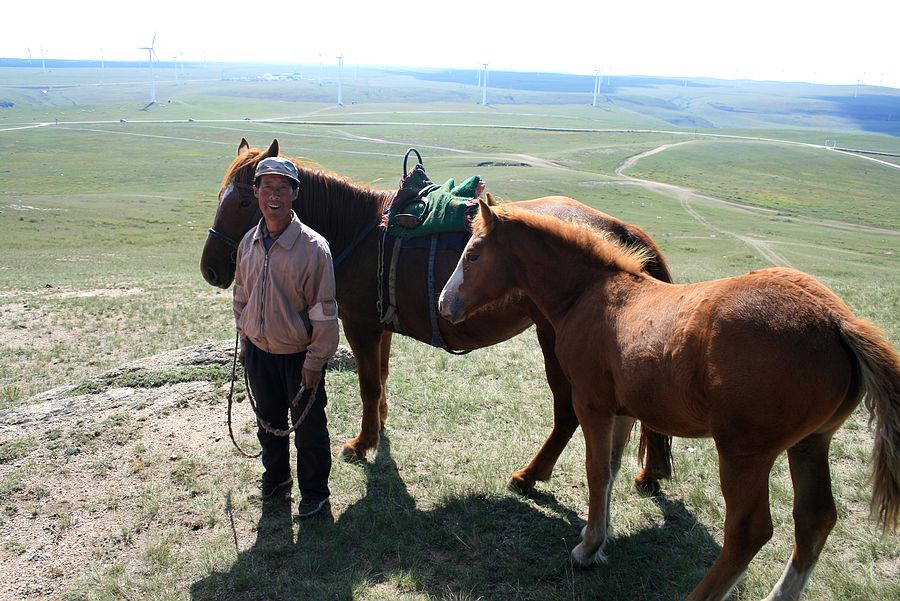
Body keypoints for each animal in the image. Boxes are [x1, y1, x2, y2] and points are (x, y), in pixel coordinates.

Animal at [199, 139, 676, 492]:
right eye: (222, 195)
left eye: (245, 202)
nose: (211, 269)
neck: (354, 228)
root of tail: (623, 232)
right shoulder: (379, 326)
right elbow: (381, 378)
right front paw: (378, 429)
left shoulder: (358, 325)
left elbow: (368, 385)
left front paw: (362, 443)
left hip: (555, 343)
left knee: (567, 413)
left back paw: (529, 474)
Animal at [438, 200, 900, 600]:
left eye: (473, 254)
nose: (444, 304)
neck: (589, 293)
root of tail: (837, 319)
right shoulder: (623, 411)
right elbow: (612, 468)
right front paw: (598, 540)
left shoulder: (592, 405)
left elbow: (596, 473)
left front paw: (586, 549)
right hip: (811, 443)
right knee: (814, 520)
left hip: (744, 452)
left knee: (748, 532)